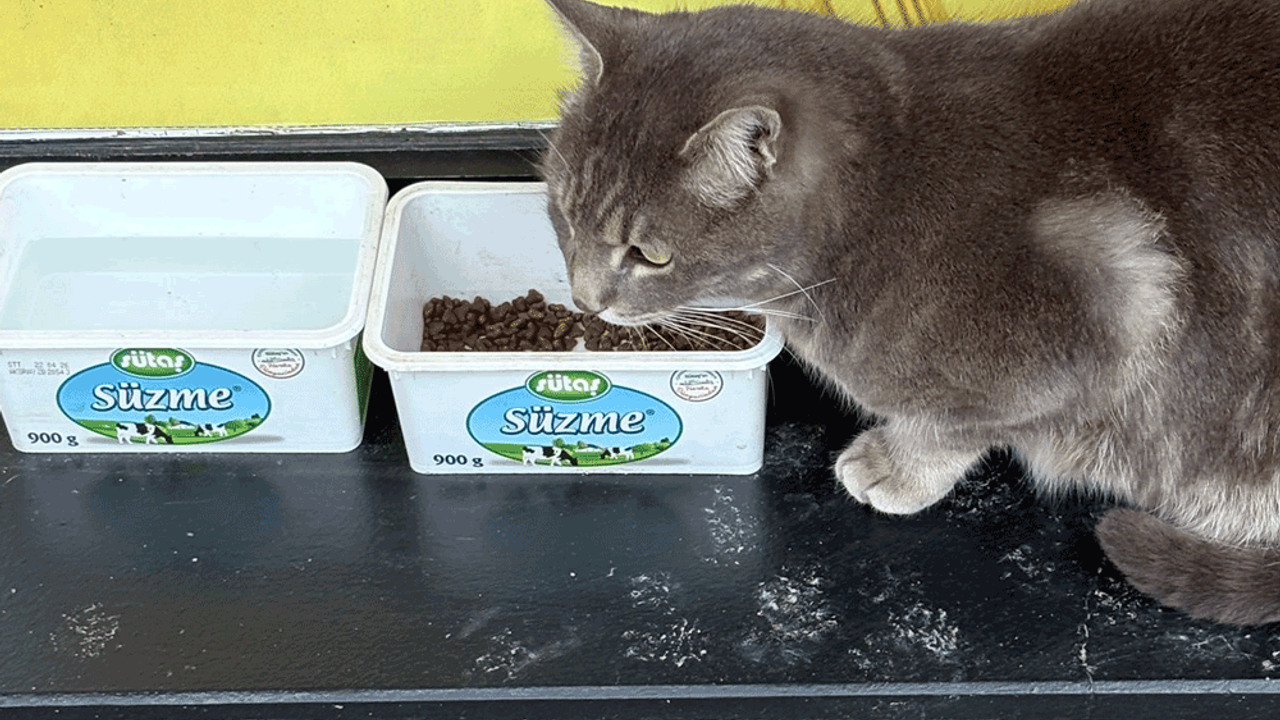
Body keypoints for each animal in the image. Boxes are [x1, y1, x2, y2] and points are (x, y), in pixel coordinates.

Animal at [539, 0, 1280, 626]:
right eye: (565, 215)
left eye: (650, 255)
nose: (585, 298)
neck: (881, 199)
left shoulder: (1099, 318)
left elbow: (956, 425)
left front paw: (894, 465)